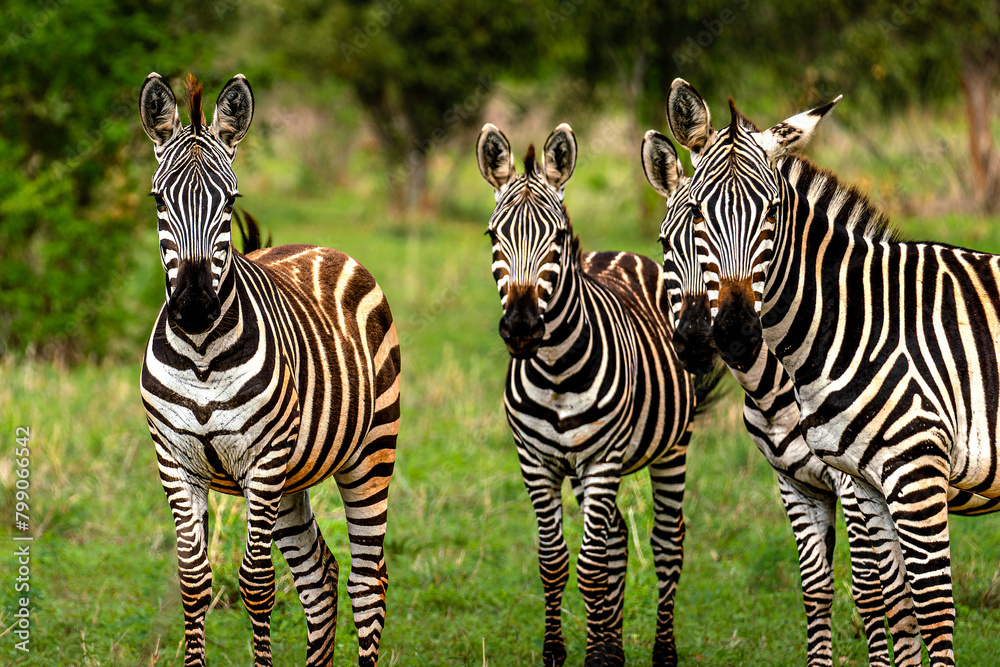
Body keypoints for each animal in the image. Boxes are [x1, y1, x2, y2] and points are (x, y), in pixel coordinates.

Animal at [138, 73, 400, 667]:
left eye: (231, 200)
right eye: (159, 199)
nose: (194, 307)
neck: (201, 356)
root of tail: (321, 246)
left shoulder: (264, 460)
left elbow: (256, 583)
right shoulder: (175, 463)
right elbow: (194, 581)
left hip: (370, 451)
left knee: (367, 581)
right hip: (292, 479)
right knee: (321, 575)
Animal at [476, 122, 715, 666]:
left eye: (559, 237)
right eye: (494, 236)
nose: (521, 329)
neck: (555, 371)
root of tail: (623, 254)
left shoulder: (602, 460)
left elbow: (588, 568)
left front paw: (594, 651)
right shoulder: (536, 463)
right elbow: (555, 562)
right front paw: (564, 651)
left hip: (672, 446)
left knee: (666, 542)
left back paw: (660, 652)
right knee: (617, 540)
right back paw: (610, 645)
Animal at [665, 78, 1000, 667]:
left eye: (772, 211)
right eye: (695, 217)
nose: (730, 333)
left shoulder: (912, 471)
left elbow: (924, 604)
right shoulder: (844, 481)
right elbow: (882, 599)